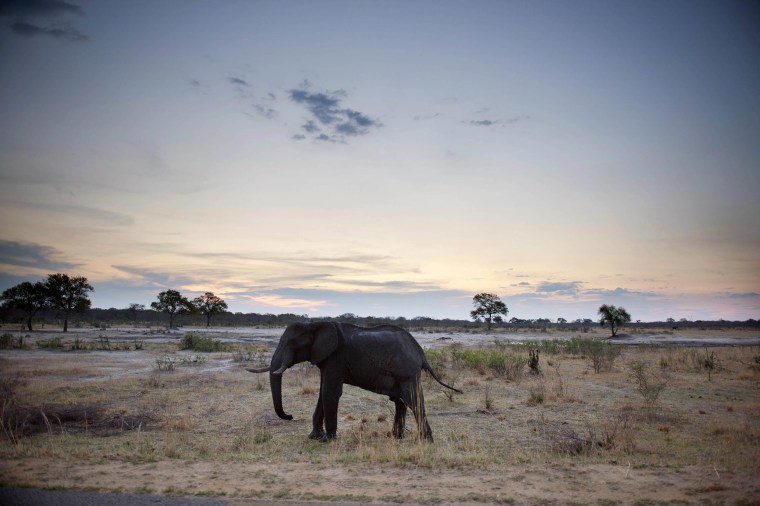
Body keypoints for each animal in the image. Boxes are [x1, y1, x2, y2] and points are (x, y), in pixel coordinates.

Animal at [249, 322, 460, 440]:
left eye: (292, 344)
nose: (291, 416)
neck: (315, 324)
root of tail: (421, 352)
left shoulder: (336, 357)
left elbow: (330, 392)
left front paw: (327, 440)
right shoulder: (326, 359)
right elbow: (322, 393)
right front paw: (313, 437)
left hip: (407, 373)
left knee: (413, 400)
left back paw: (425, 440)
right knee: (400, 402)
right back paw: (395, 437)